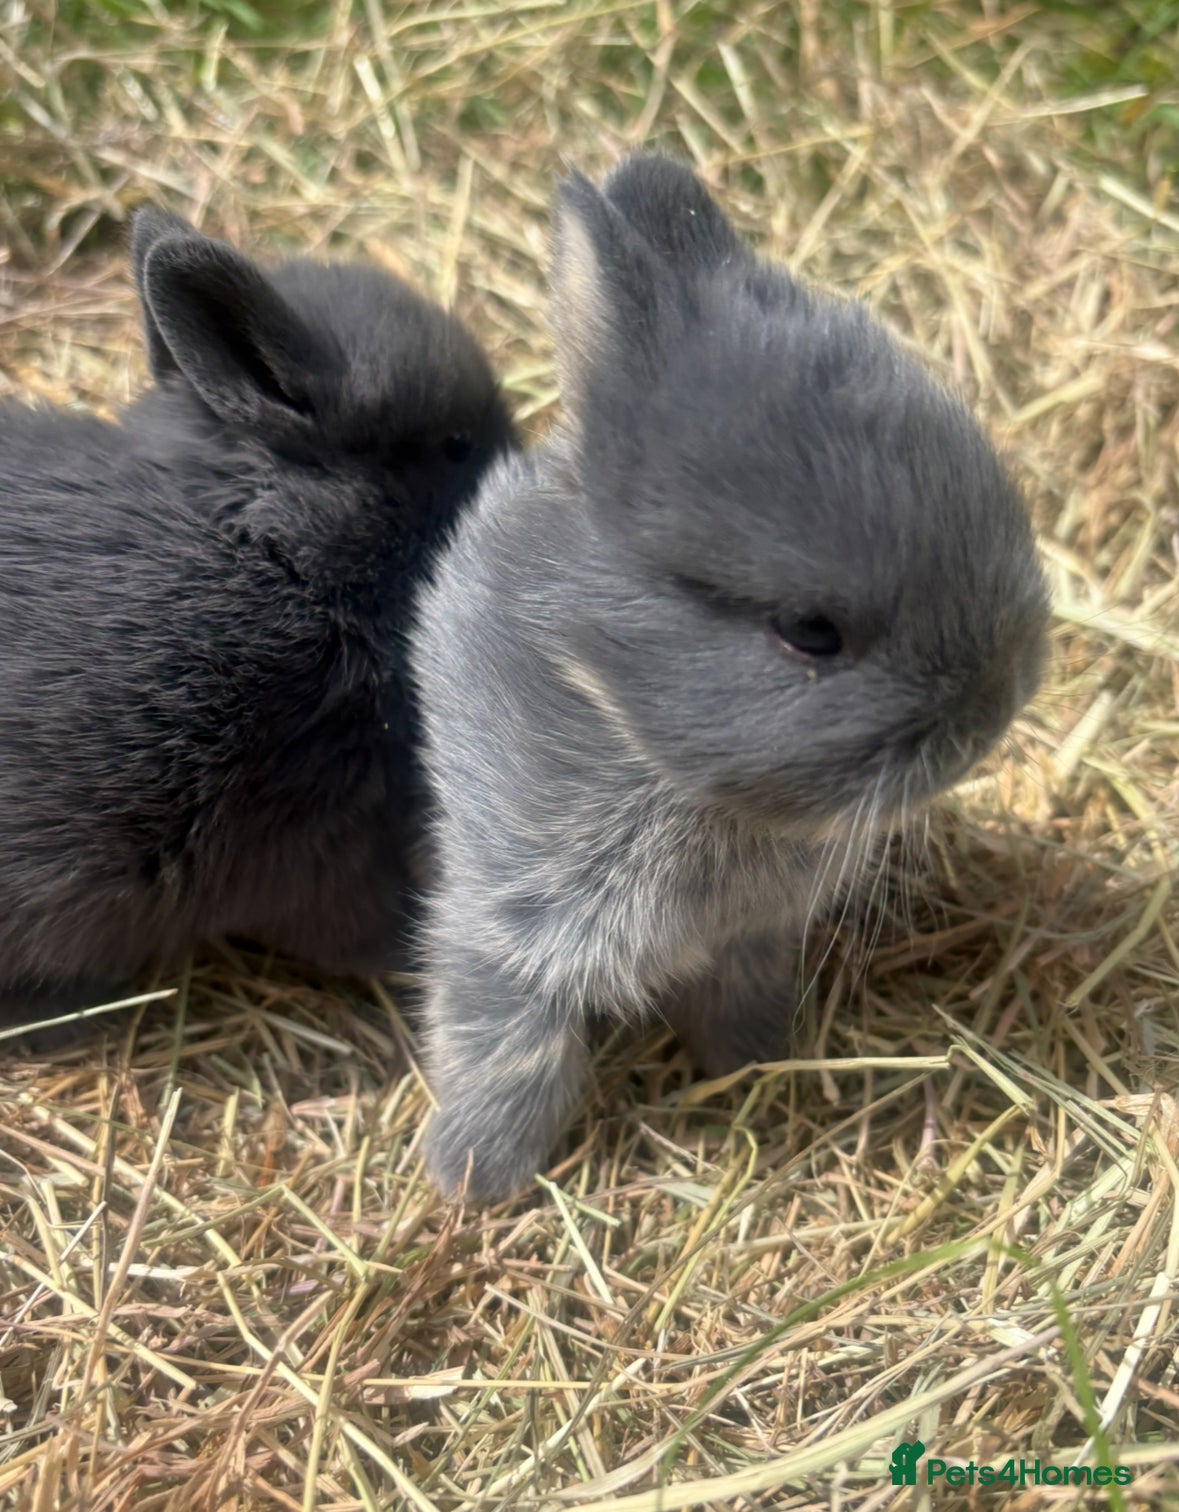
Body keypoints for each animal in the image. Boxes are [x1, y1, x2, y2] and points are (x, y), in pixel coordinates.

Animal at [410, 154, 1050, 1201]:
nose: (996, 707)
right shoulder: (505, 930)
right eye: (809, 632)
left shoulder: (750, 940)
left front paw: (752, 1069)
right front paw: (475, 1180)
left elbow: (737, 1006)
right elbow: (512, 1056)